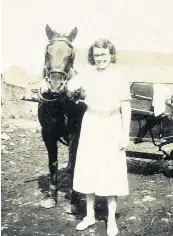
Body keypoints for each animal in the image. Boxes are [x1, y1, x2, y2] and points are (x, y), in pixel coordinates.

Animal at [38, 24, 86, 208]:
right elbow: (53, 163)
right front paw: (52, 196)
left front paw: (74, 198)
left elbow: (74, 162)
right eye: (47, 52)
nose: (56, 87)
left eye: (70, 54)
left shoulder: (76, 133)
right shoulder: (47, 133)